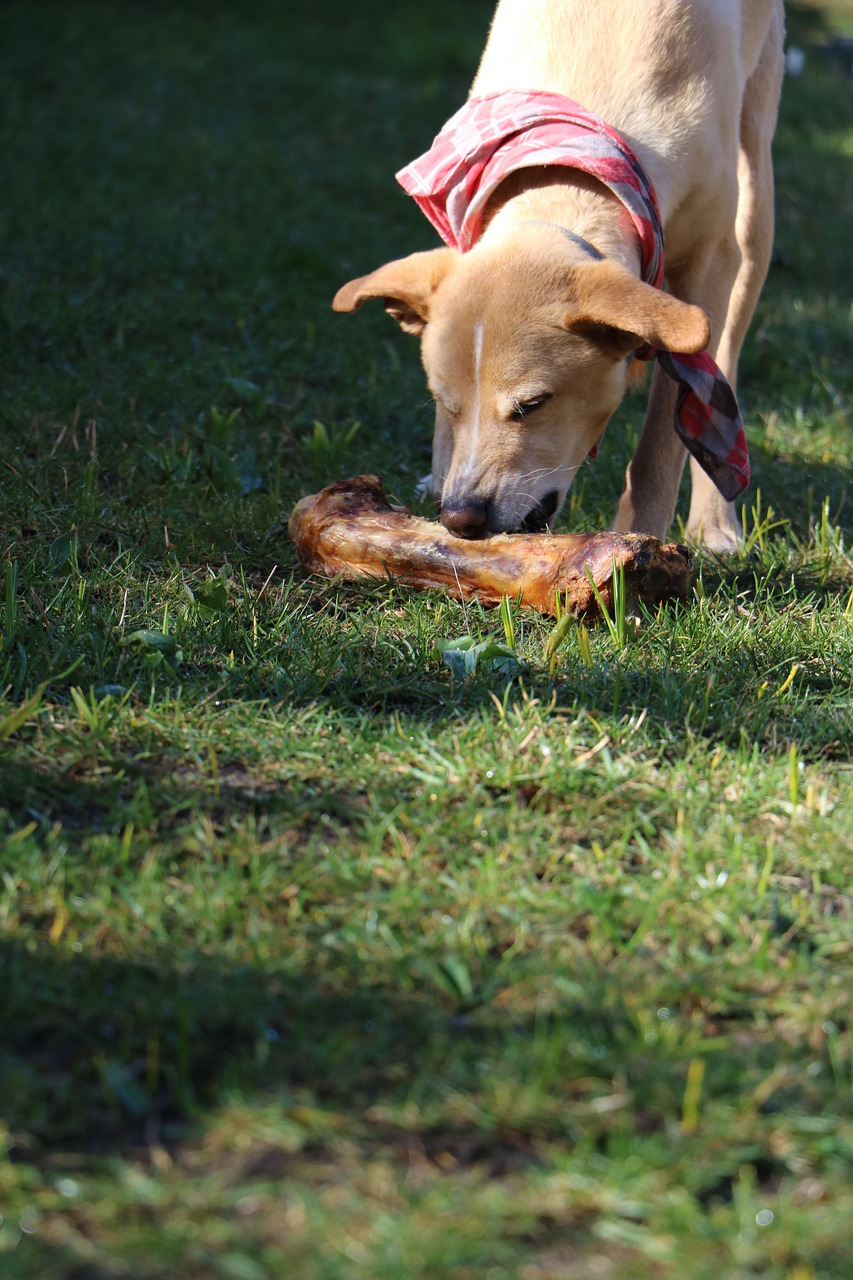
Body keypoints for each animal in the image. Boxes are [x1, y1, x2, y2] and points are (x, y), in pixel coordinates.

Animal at [327, 0, 778, 550]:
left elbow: (662, 441)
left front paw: (638, 540)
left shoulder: (708, 263)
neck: (574, 176)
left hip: (753, 207)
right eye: (442, 401)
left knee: (724, 364)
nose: (459, 517)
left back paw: (715, 521)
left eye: (533, 404)